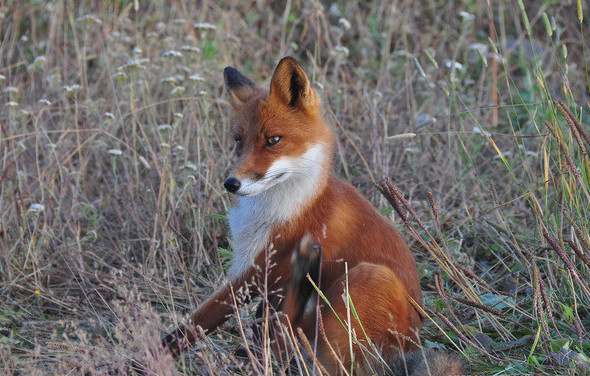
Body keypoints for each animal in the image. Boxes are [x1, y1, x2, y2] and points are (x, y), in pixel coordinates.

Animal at [164, 57, 464, 374]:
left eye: (273, 140)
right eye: (238, 142)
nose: (231, 183)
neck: (290, 203)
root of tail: (410, 345)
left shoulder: (260, 268)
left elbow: (198, 322)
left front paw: (153, 352)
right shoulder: (257, 268)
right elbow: (258, 319)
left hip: (369, 277)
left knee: (292, 339)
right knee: (287, 335)